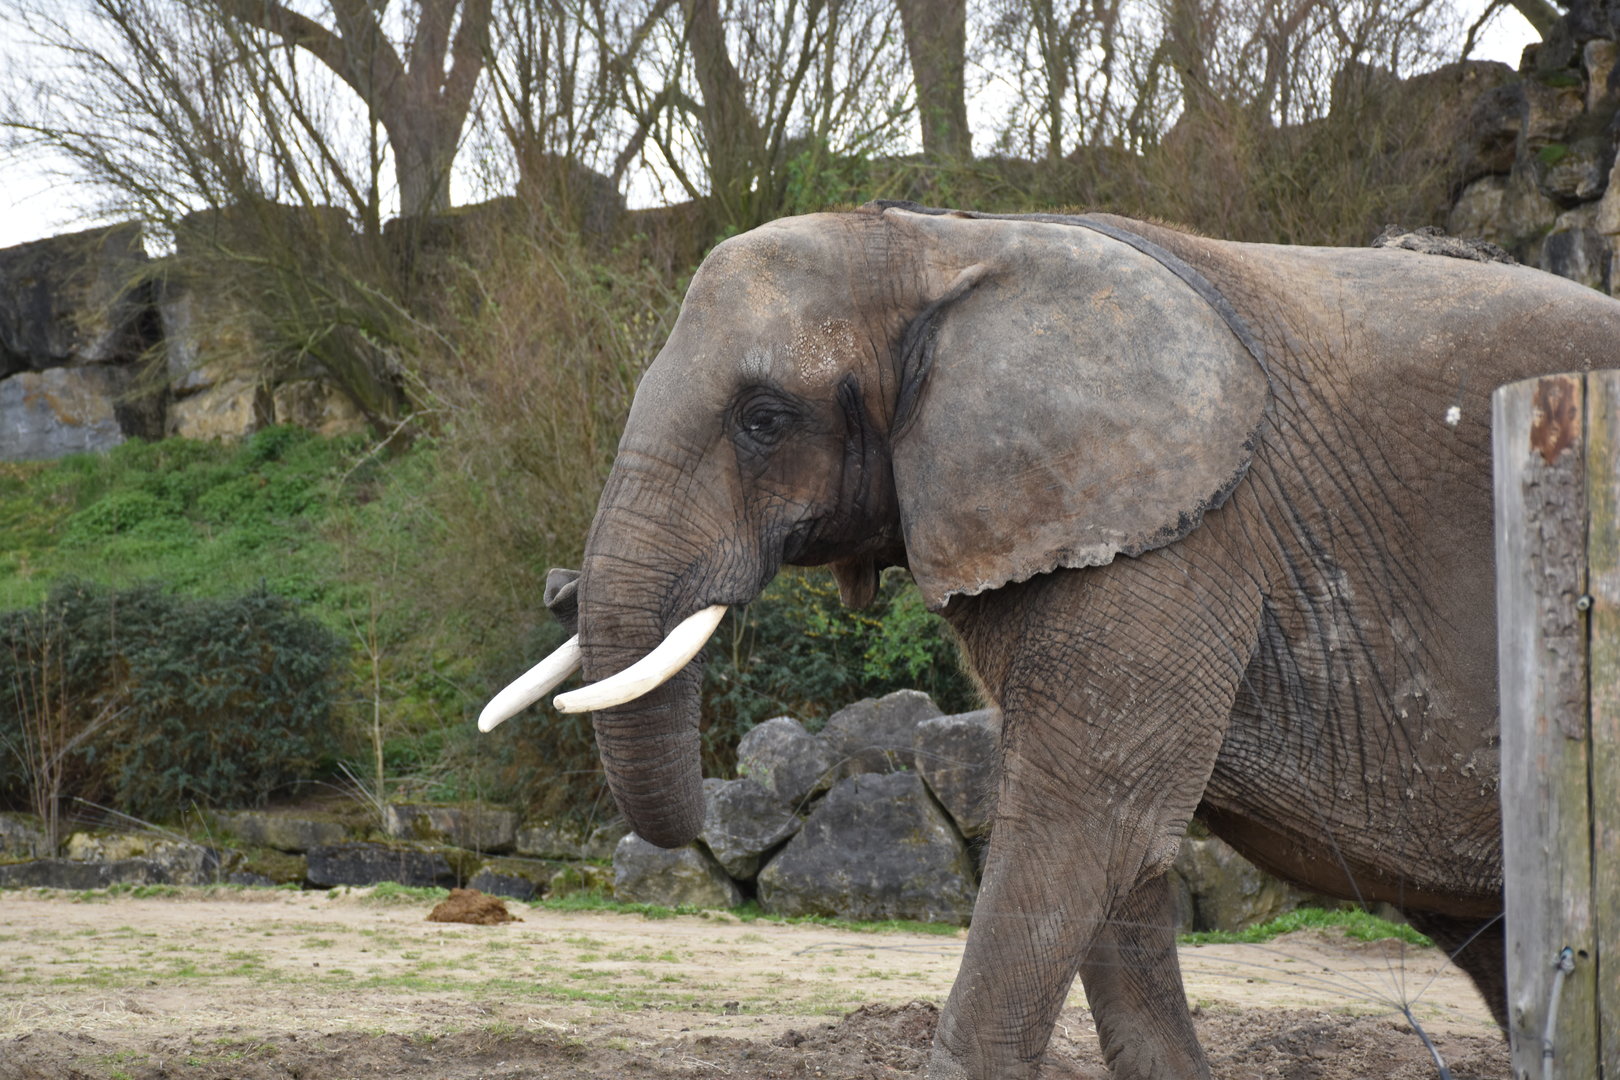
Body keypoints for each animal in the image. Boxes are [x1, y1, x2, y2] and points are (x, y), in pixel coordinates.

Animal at [478, 201, 1620, 1078]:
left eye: (763, 418)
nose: (558, 590)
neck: (940, 243)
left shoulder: (1176, 532)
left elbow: (1087, 830)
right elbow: (1122, 866)